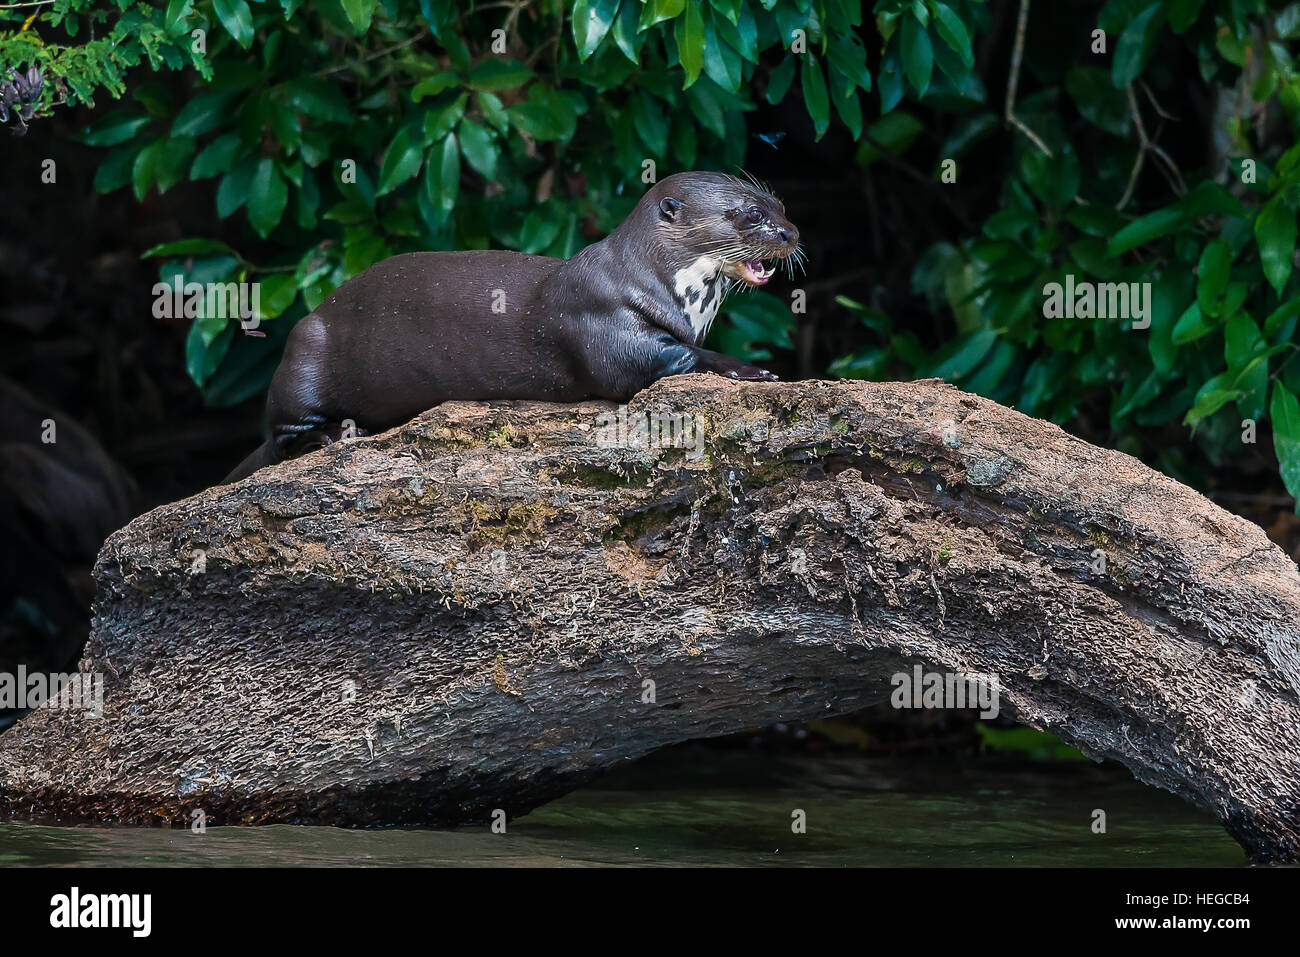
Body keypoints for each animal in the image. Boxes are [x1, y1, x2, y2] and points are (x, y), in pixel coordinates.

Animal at [223, 171, 800, 482]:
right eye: (749, 214)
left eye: (780, 204)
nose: (791, 233)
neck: (655, 280)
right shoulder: (605, 318)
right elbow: (652, 362)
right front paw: (751, 370)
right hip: (305, 347)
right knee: (281, 435)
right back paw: (332, 434)